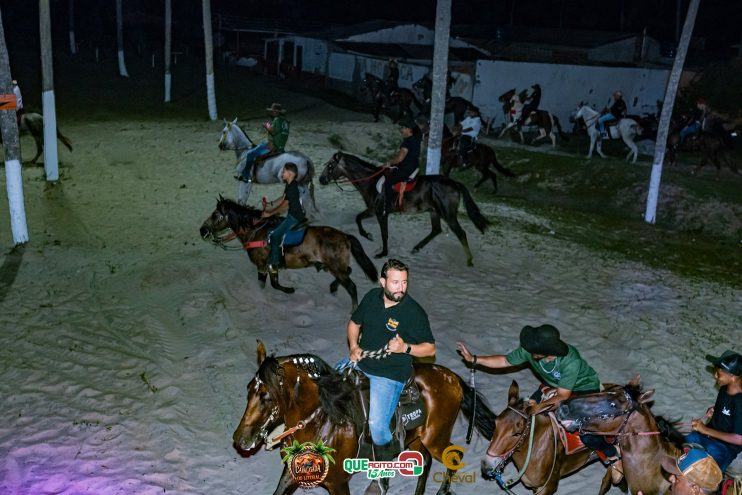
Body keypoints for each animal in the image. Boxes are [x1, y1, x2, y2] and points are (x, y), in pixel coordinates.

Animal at [199, 198, 378, 310]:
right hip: (336, 266)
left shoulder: (262, 265)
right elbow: (274, 284)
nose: (202, 230)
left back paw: (353, 309)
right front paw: (289, 290)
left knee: (351, 286)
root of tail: (345, 236)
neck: (256, 231)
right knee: (348, 272)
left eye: (215, 215)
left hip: (336, 267)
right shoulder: (272, 266)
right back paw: (333, 287)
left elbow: (264, 284)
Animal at [235, 340, 496, 495]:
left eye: (266, 396)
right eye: (248, 389)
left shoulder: (338, 483)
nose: (240, 439)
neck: (320, 422)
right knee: (426, 461)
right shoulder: (290, 474)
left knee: (454, 455)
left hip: (436, 438)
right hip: (417, 439)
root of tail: (451, 377)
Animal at [318, 151, 488, 268]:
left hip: (448, 215)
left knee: (461, 233)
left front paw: (382, 252)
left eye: (330, 166)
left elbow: (384, 233)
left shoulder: (380, 213)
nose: (321, 179)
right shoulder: (372, 210)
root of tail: (455, 183)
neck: (371, 182)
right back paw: (416, 248)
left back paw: (469, 261)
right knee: (436, 230)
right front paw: (367, 235)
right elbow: (358, 218)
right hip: (434, 212)